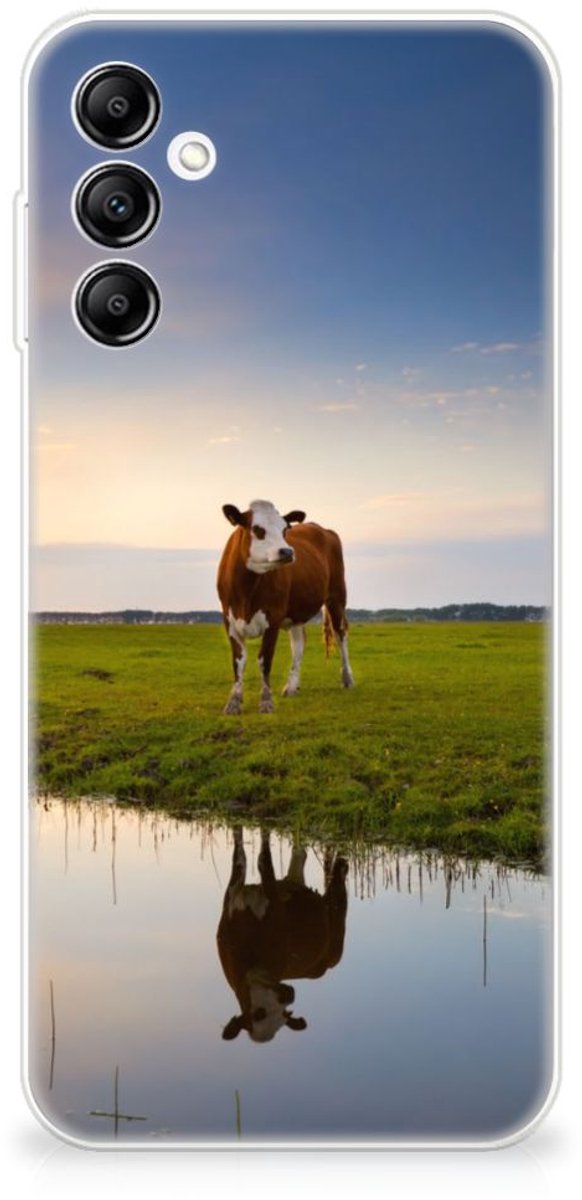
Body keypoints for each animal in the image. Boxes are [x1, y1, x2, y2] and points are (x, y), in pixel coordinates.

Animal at [217, 499, 354, 714]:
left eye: (284, 529)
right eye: (257, 529)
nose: (288, 552)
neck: (246, 591)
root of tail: (322, 529)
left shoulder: (273, 618)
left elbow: (264, 660)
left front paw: (266, 701)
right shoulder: (229, 620)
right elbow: (238, 661)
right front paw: (234, 702)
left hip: (337, 597)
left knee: (341, 635)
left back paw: (347, 678)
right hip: (296, 612)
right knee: (299, 643)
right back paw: (291, 686)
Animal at [217, 827, 348, 1043]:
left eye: (284, 1016)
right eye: (259, 1014)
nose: (289, 995)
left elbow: (263, 860)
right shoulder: (232, 896)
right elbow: (240, 856)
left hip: (336, 932)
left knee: (338, 892)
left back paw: (342, 864)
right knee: (300, 854)